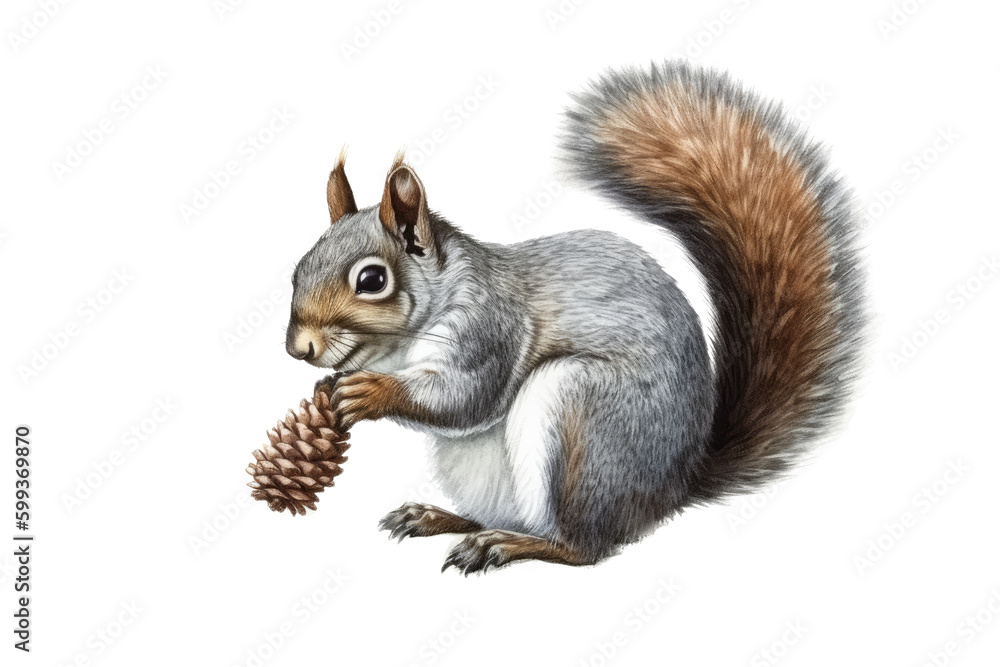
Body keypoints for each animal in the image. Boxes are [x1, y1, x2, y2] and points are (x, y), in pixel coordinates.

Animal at [285, 61, 866, 574]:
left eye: (372, 280)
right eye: (298, 268)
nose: (298, 348)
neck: (404, 345)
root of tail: (669, 490)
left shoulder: (489, 328)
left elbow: (465, 396)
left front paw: (372, 393)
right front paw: (327, 391)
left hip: (580, 415)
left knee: (581, 547)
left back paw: (506, 545)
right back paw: (440, 517)